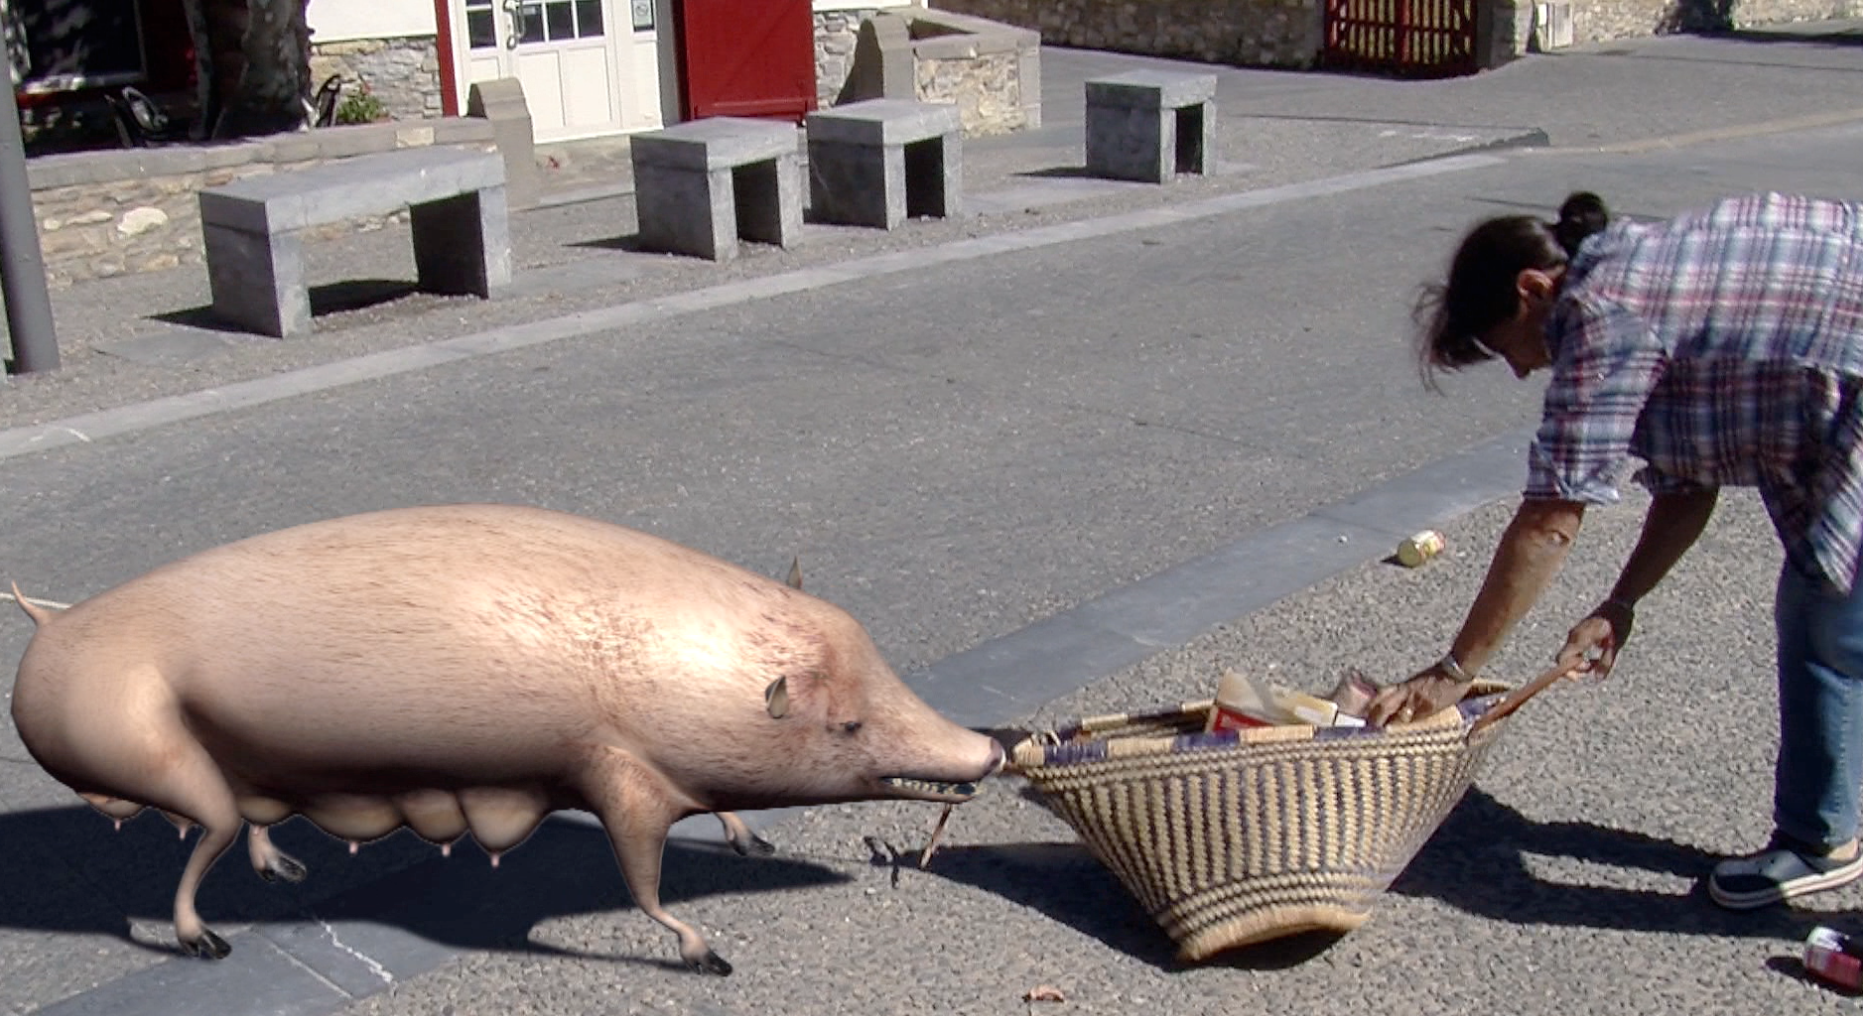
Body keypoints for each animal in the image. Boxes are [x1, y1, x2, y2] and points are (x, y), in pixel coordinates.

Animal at [8, 503, 1004, 975]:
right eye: (846, 725)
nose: (991, 751)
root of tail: (48, 632)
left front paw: (745, 839)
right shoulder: (619, 775)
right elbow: (644, 885)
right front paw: (706, 953)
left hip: (244, 756)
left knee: (245, 818)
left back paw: (278, 866)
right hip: (145, 740)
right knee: (201, 835)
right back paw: (202, 939)